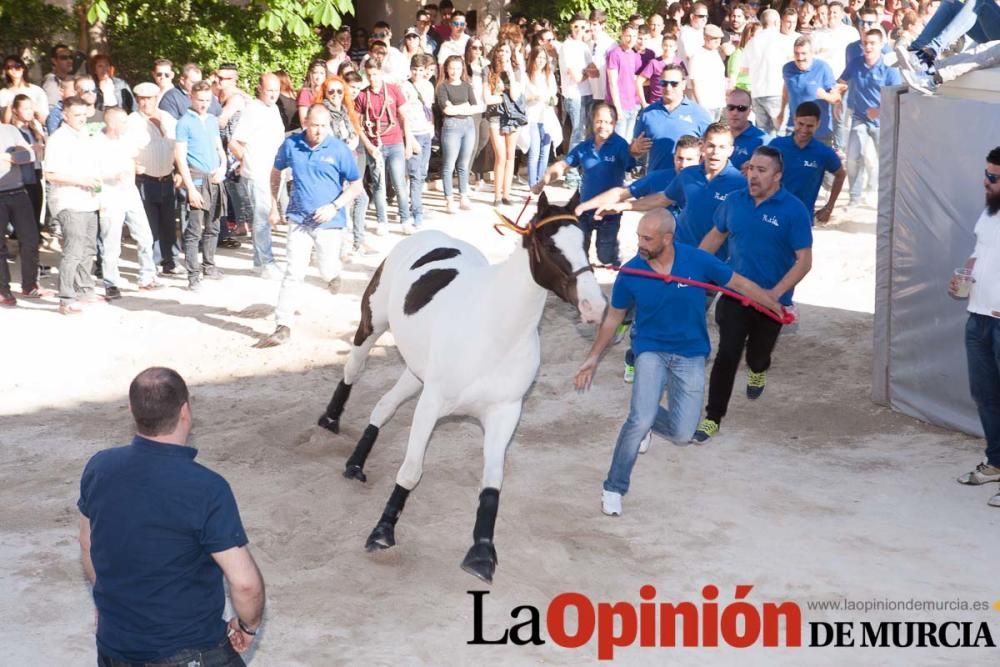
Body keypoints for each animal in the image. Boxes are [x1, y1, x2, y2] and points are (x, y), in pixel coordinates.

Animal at [316, 193, 604, 584]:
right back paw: (330, 419)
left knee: (383, 406)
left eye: (585, 241)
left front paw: (481, 553)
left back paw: (356, 463)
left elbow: (492, 482)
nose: (595, 307)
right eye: (549, 245)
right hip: (372, 326)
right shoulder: (431, 404)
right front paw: (382, 532)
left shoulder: (504, 414)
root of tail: (427, 236)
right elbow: (411, 471)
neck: (494, 331)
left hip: (416, 373)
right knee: (353, 370)